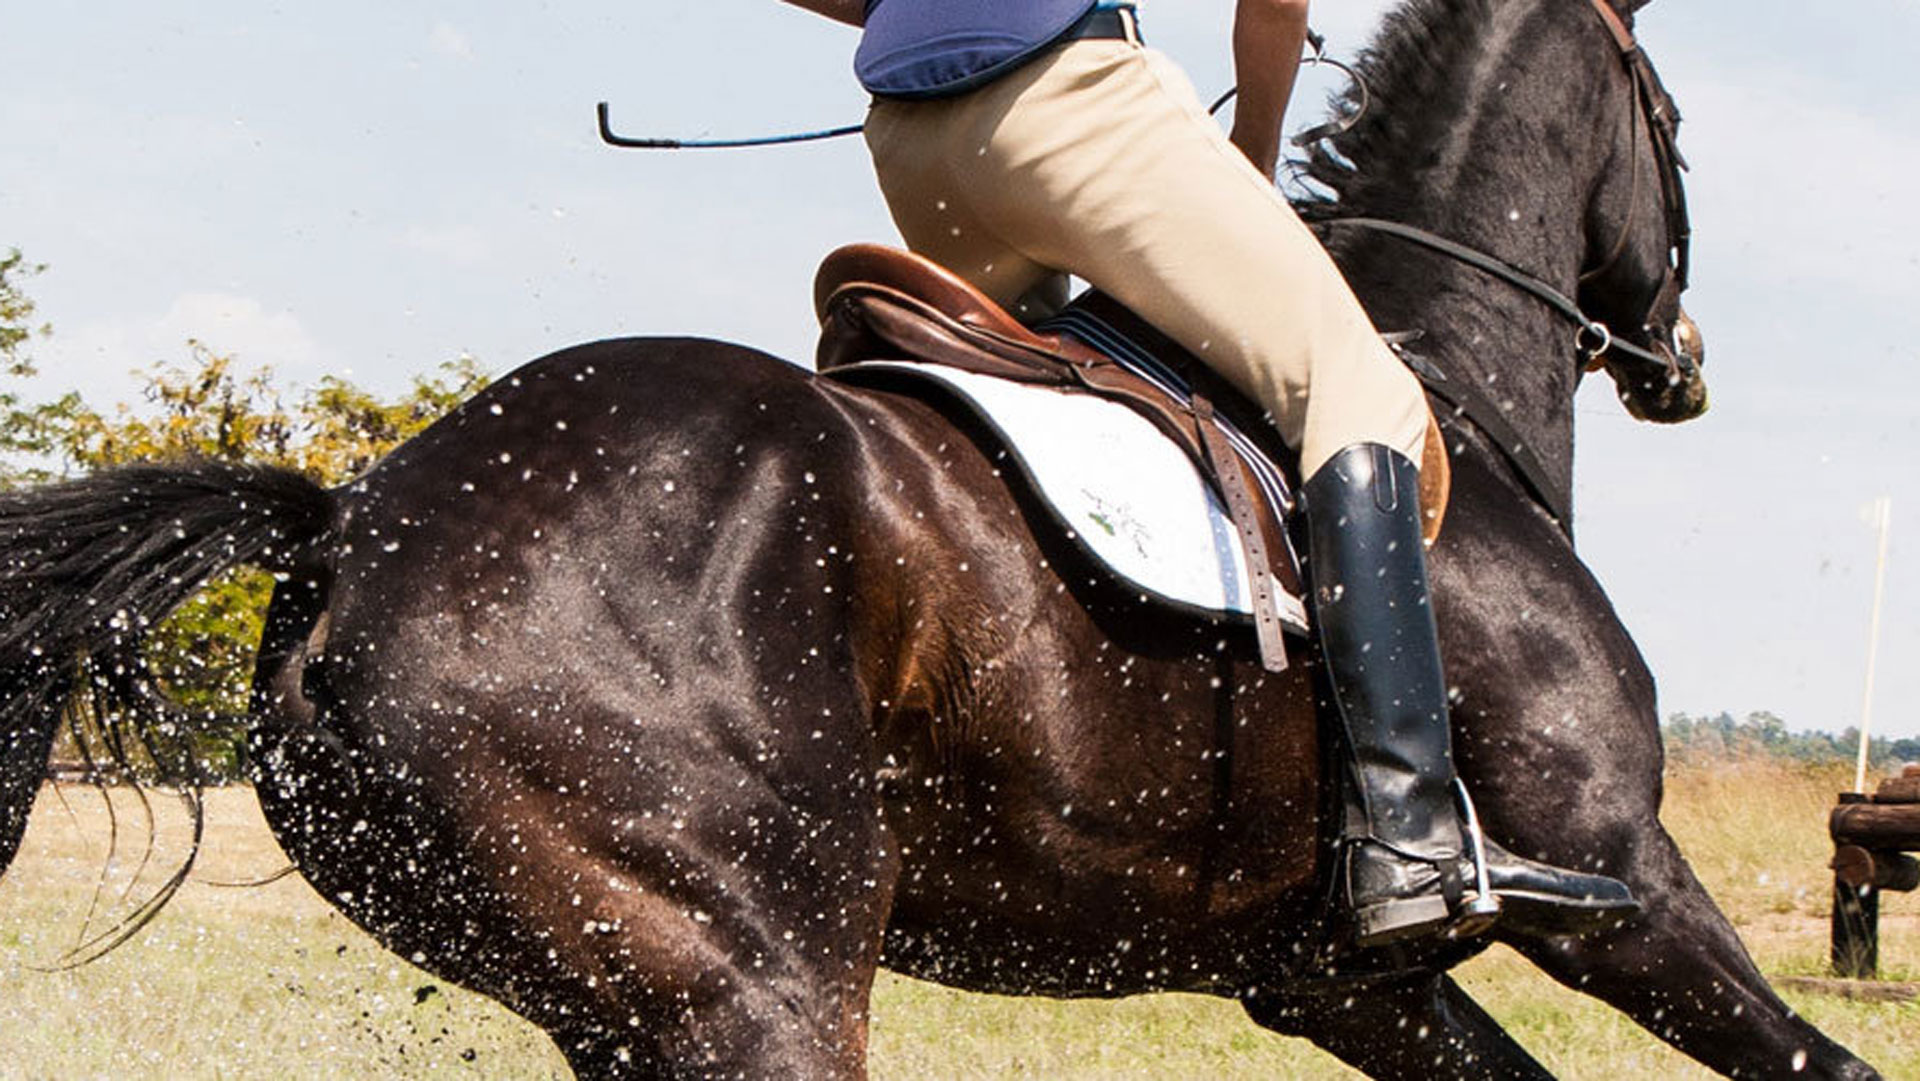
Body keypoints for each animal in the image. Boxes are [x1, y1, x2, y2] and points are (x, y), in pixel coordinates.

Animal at [0, 0, 1881, 1075]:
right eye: (1676, 130)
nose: (1681, 362)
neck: (1445, 401)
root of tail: (360, 520)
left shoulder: (1336, 983)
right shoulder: (1619, 886)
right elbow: (1822, 1065)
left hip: (625, 995)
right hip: (755, 977)